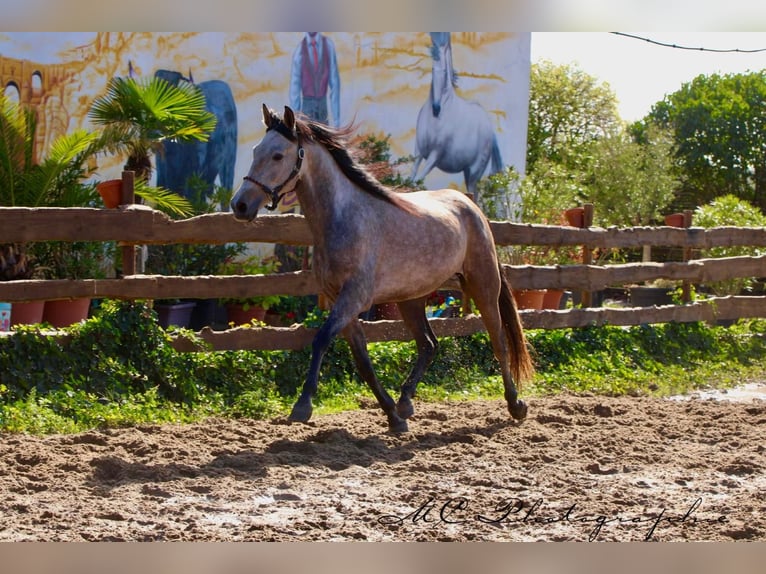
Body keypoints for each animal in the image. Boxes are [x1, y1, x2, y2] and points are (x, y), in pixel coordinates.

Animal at [231, 104, 533, 433]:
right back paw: (405, 402)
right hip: (411, 299)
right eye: (256, 150)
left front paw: (303, 405)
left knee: (498, 341)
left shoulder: (355, 298)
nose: (240, 205)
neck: (344, 218)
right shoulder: (341, 301)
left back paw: (516, 405)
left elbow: (321, 339)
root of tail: (471, 206)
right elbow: (362, 360)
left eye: (277, 155)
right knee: (429, 344)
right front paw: (393, 417)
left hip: (483, 286)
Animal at [411, 32, 503, 201]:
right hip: (467, 171)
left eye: (444, 71)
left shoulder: (435, 155)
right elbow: (410, 177)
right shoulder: (418, 151)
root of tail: (491, 131)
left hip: (474, 172)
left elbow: (416, 181)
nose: (436, 108)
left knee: (473, 194)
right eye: (432, 69)